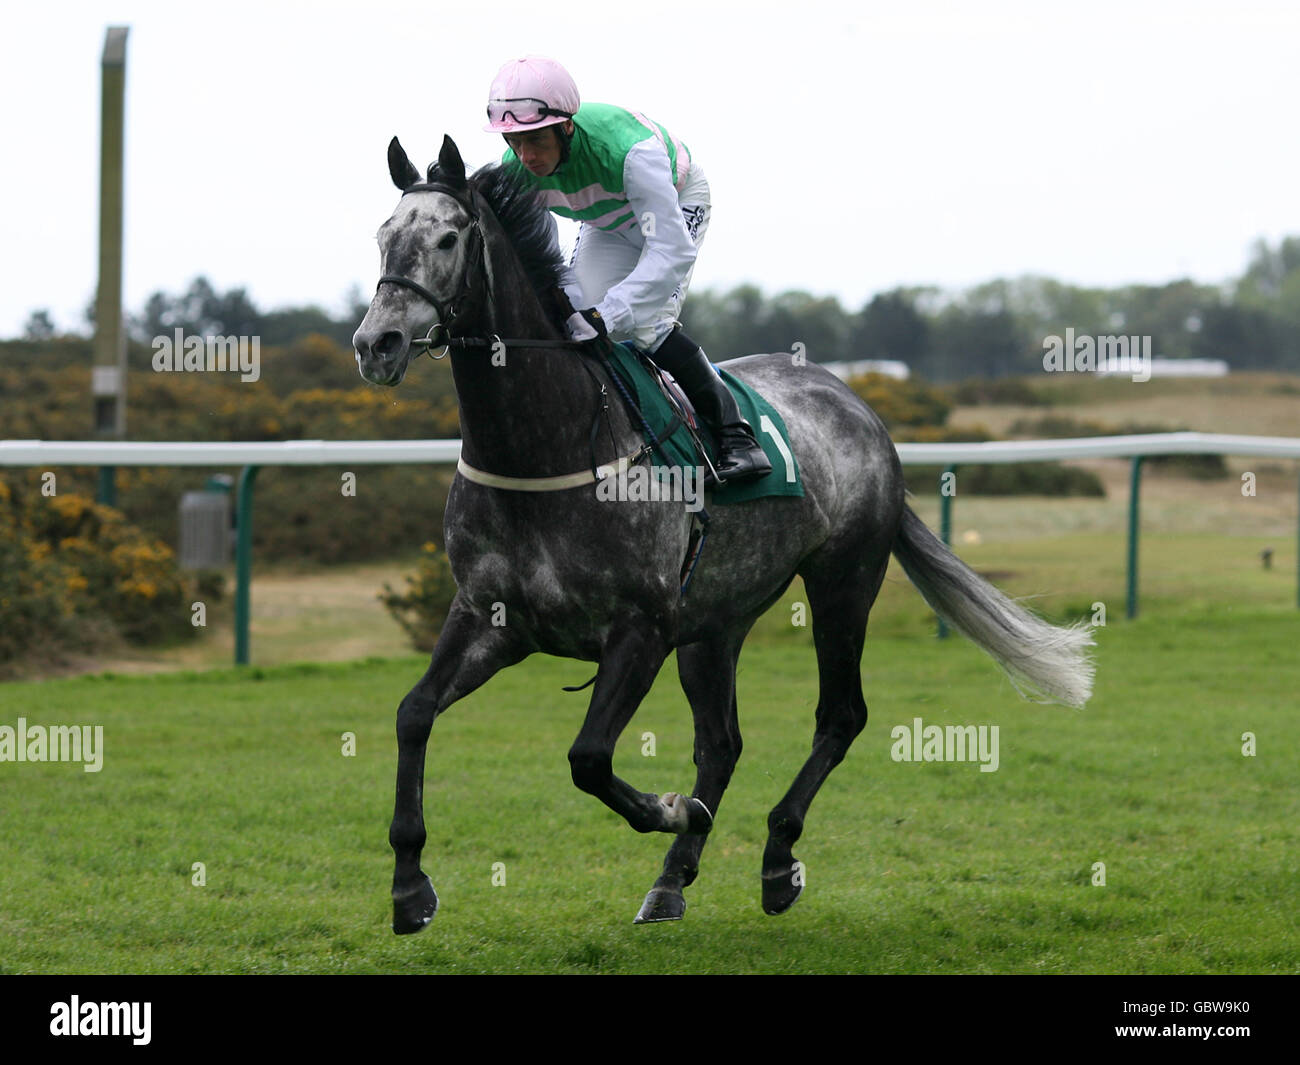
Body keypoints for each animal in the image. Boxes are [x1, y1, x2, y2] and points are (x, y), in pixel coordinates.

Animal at [356, 135, 1097, 931]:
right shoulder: (488, 617)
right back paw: (671, 879)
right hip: (715, 623)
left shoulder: (641, 629)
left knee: (840, 716)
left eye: (447, 238)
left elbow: (588, 756)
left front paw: (672, 808)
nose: (377, 343)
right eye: (383, 235)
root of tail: (860, 406)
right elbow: (412, 714)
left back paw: (775, 856)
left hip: (842, 581)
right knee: (722, 742)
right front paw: (409, 884)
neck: (543, 448)